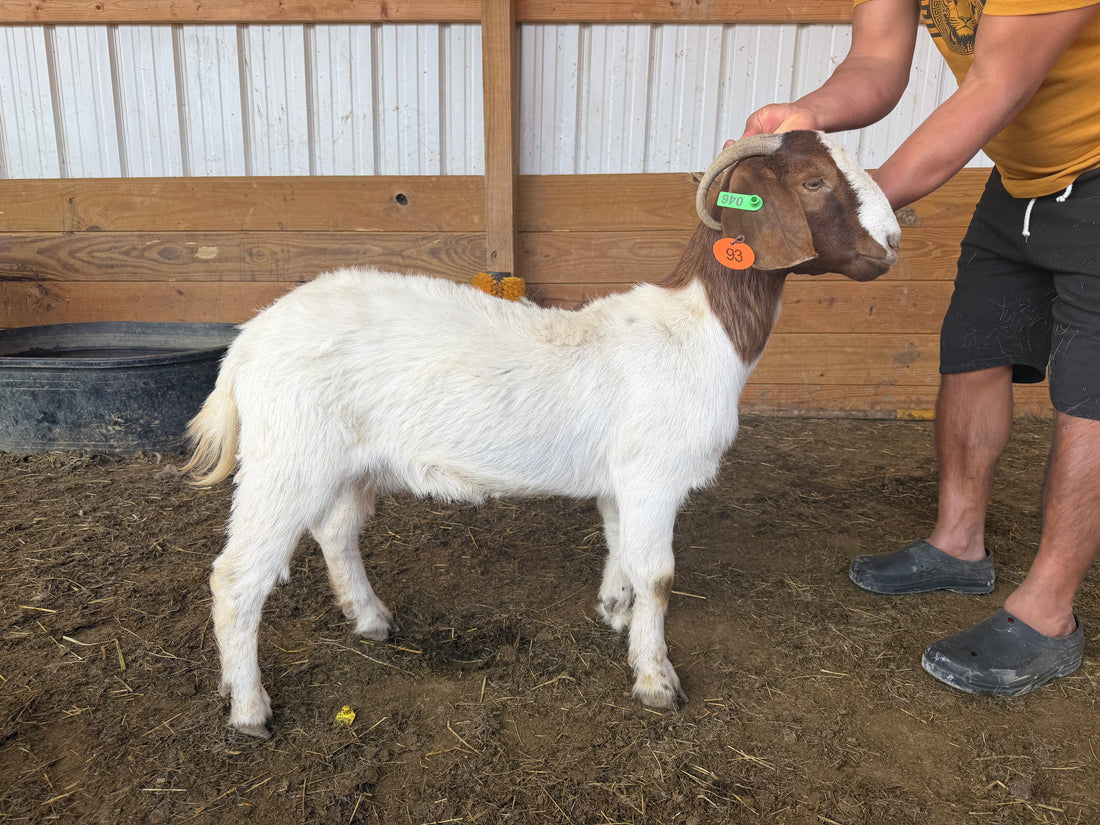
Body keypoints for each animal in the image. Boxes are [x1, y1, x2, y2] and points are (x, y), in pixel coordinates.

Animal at [186, 130, 901, 738]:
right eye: (812, 181)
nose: (892, 242)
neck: (699, 330)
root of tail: (246, 344)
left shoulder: (621, 482)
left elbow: (620, 547)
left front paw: (614, 611)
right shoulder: (654, 476)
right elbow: (659, 576)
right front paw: (655, 679)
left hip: (349, 462)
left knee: (335, 532)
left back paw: (371, 620)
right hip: (288, 458)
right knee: (237, 576)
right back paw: (249, 708)